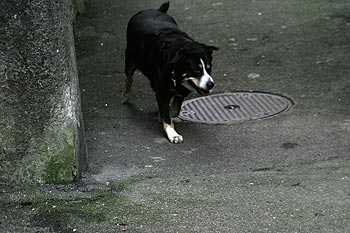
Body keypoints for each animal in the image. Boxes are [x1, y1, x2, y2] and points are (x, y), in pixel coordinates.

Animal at [122, 2, 216, 144]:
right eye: (196, 70)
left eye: (209, 68)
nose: (211, 84)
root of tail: (154, 10)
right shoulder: (161, 92)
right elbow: (166, 116)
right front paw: (172, 133)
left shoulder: (181, 91)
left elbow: (174, 110)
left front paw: (162, 116)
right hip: (130, 59)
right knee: (129, 78)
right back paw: (126, 95)